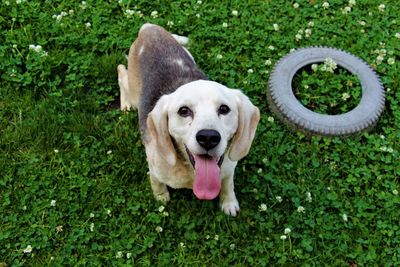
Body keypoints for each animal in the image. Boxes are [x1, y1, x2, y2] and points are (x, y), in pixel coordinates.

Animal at [116, 22, 260, 216]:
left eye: (224, 109)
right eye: (183, 111)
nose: (208, 137)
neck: (192, 173)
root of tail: (149, 29)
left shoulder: (229, 169)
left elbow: (227, 185)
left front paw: (229, 202)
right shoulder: (154, 170)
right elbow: (157, 185)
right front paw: (161, 197)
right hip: (132, 90)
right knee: (120, 72)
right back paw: (125, 104)